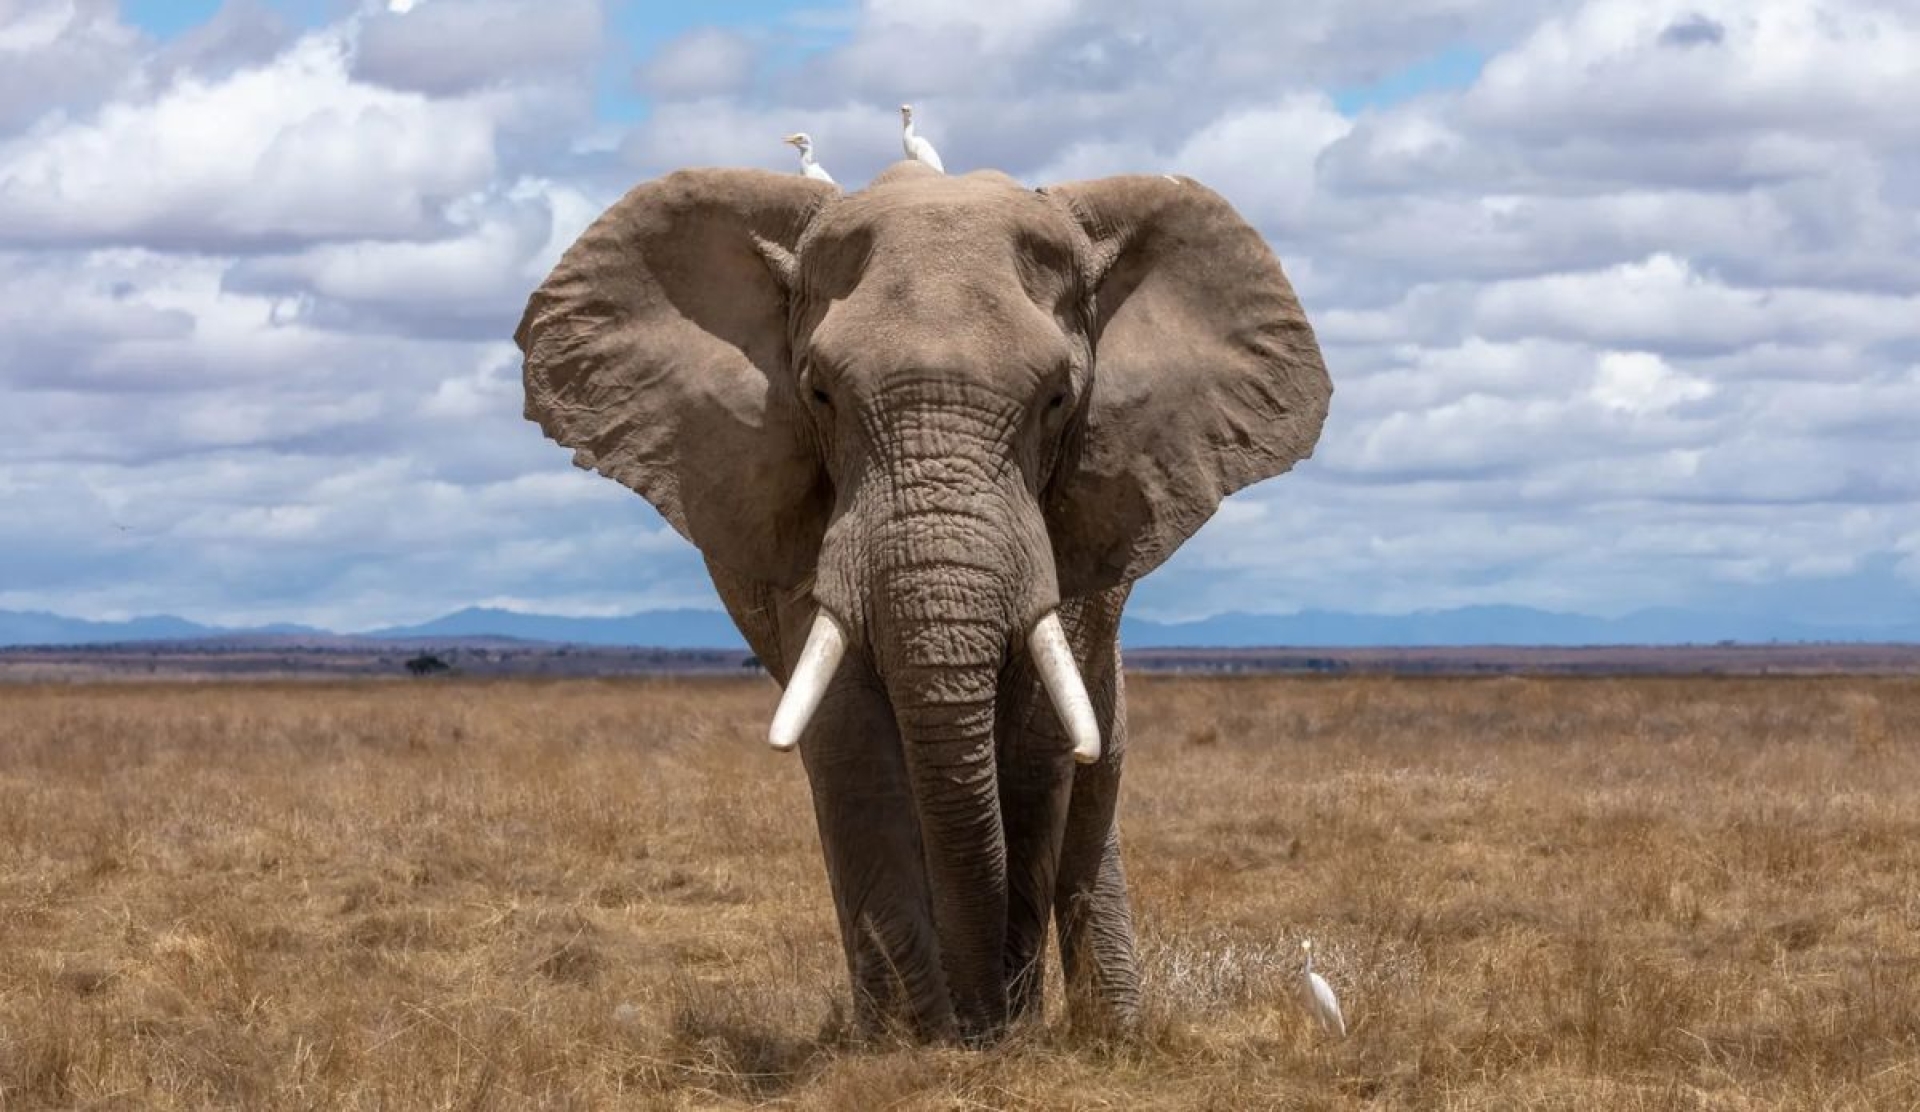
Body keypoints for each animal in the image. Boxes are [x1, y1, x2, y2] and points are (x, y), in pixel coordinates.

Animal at [514, 160, 1331, 1043]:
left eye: (1057, 399)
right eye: (820, 395)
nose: (980, 1022)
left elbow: (1038, 747)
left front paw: (1000, 1033)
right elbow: (851, 741)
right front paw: (913, 1043)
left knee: (1095, 772)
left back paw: (1111, 1031)